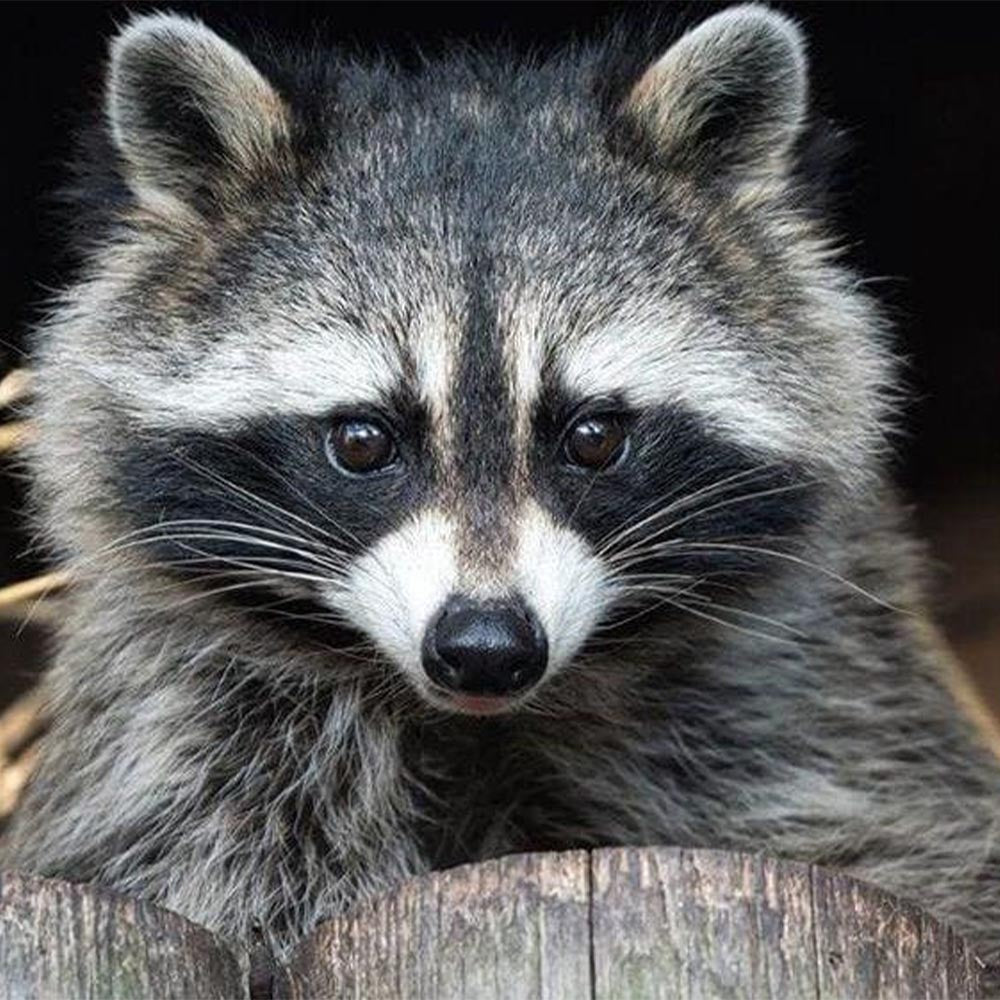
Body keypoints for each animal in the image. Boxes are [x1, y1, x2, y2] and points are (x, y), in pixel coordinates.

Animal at [5, 3, 1000, 965]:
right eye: (362, 441)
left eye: (593, 437)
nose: (485, 648)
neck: (474, 721)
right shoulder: (190, 726)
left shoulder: (819, 695)